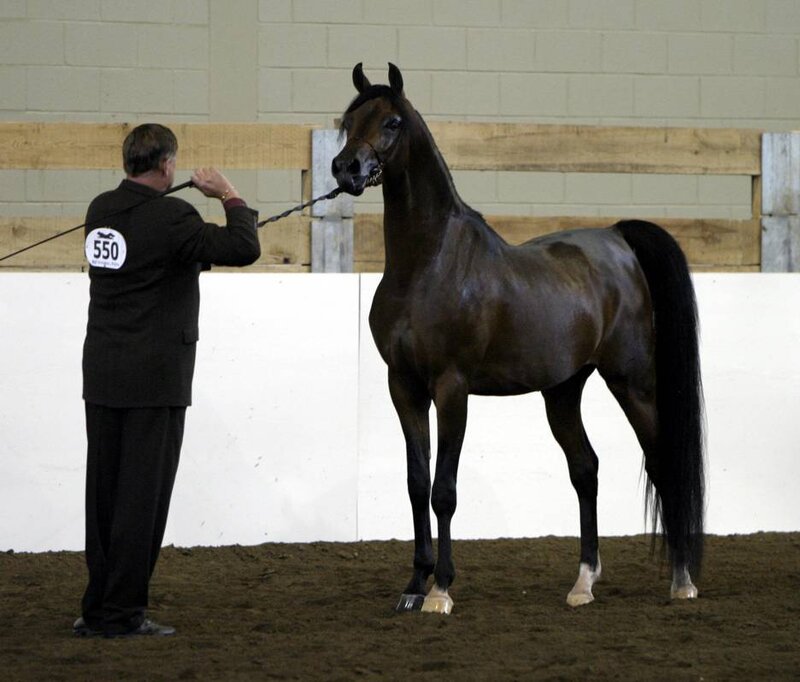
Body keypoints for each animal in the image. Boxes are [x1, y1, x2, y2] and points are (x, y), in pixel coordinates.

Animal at [332, 63, 705, 614]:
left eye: (392, 122)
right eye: (349, 120)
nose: (346, 169)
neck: (427, 265)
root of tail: (618, 240)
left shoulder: (451, 388)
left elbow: (444, 490)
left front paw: (441, 590)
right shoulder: (404, 386)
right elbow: (417, 483)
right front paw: (414, 585)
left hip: (631, 383)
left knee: (661, 464)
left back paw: (681, 581)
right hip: (563, 391)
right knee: (585, 469)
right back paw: (583, 583)